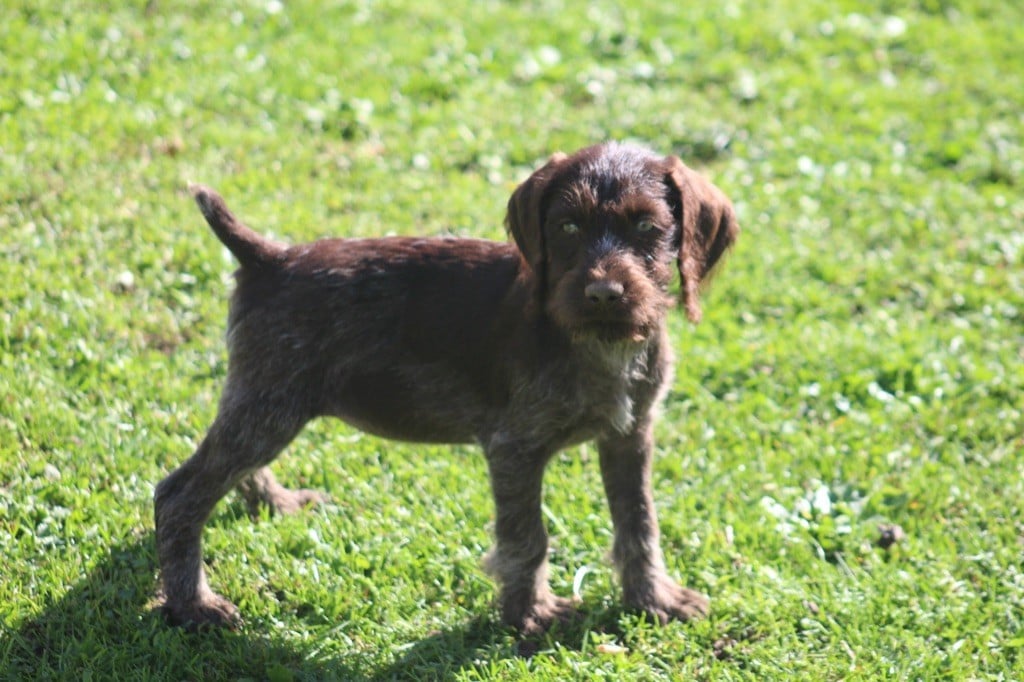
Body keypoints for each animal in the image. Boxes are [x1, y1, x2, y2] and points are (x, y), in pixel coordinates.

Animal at [153, 140, 737, 634]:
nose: (602, 294)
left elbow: (639, 522)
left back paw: (272, 500)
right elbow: (527, 537)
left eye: (647, 226)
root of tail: (269, 257)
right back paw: (194, 605)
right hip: (271, 402)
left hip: (266, 401)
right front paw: (531, 614)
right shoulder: (514, 448)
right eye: (568, 226)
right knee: (179, 494)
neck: (598, 345)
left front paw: (653, 599)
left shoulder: (630, 437)